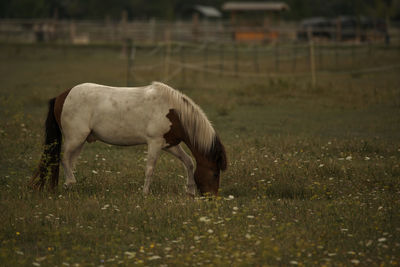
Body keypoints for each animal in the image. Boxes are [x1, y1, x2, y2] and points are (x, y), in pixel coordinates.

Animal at [29, 81, 227, 197]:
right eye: (215, 173)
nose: (212, 198)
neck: (173, 111)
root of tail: (61, 96)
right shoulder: (154, 143)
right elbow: (150, 169)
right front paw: (145, 193)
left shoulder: (169, 144)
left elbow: (189, 162)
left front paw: (190, 191)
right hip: (75, 139)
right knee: (63, 159)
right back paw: (71, 182)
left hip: (79, 142)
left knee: (69, 161)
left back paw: (67, 187)